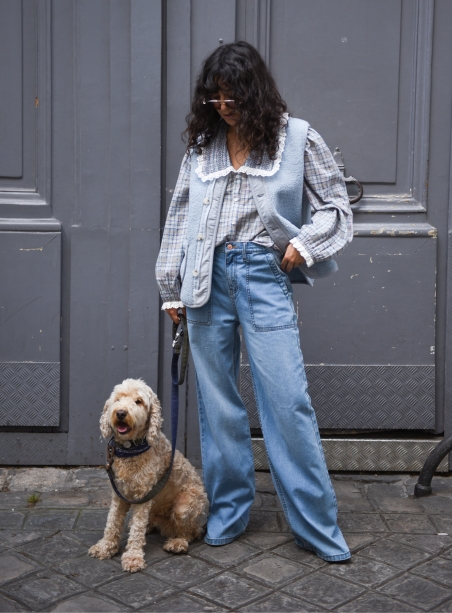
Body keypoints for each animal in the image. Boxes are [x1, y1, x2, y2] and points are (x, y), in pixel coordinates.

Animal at [89, 376, 209, 572]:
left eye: (138, 401)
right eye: (118, 399)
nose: (120, 413)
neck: (131, 449)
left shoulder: (143, 495)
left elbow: (136, 530)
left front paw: (133, 557)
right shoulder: (119, 494)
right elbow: (112, 521)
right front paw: (106, 547)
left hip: (185, 505)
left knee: (192, 532)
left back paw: (178, 542)